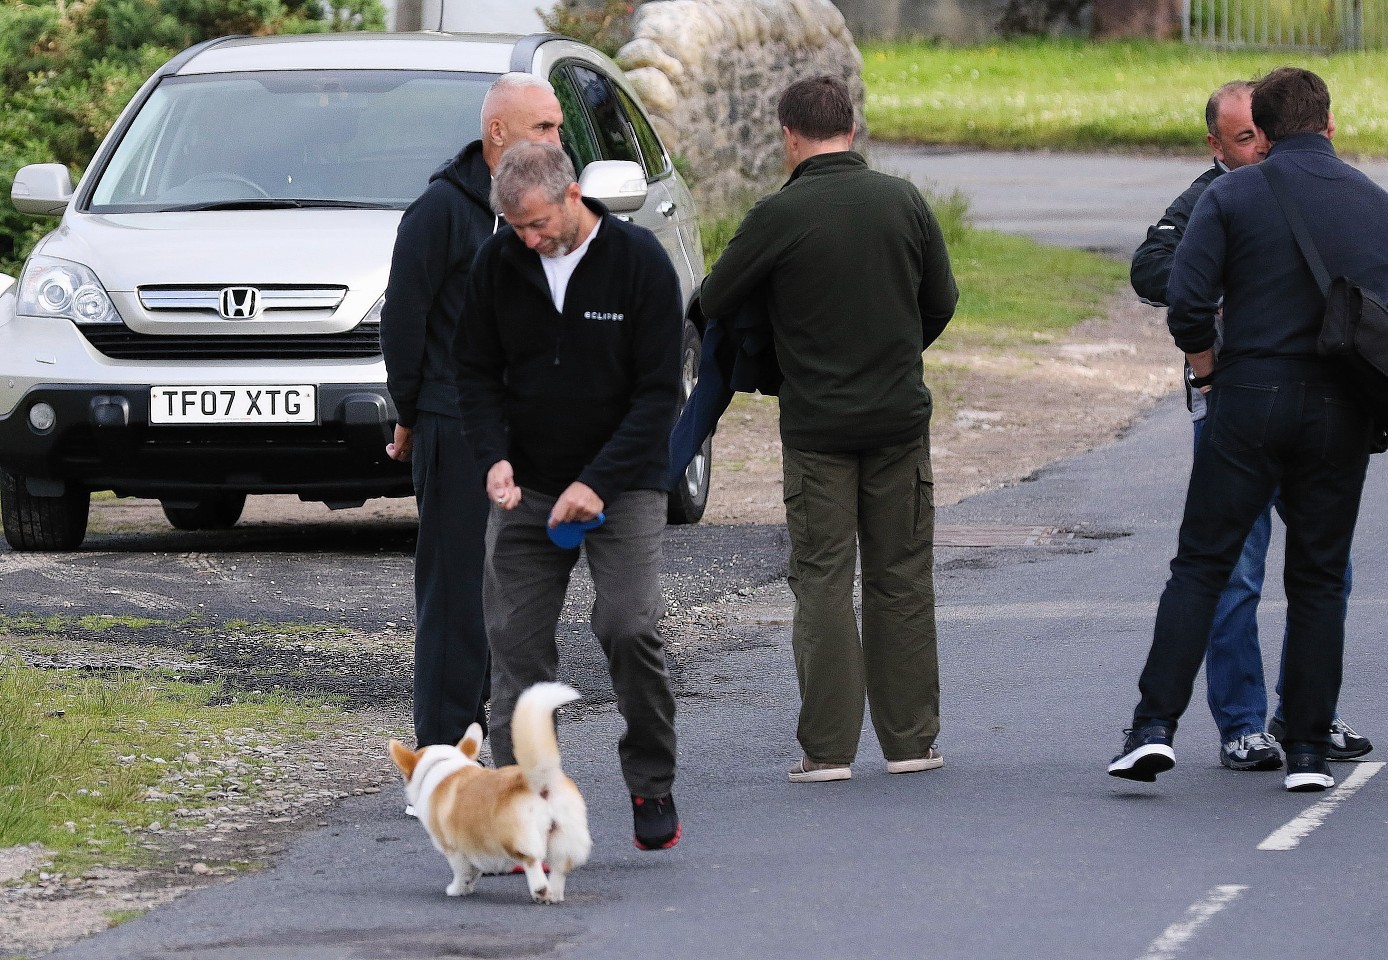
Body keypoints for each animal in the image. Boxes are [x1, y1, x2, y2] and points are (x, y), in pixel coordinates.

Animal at [385, 682, 591, 898]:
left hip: (517, 838)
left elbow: (462, 871)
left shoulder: (454, 848)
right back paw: (555, 894)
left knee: (531, 861)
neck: (443, 764)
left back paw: (540, 890)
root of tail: (538, 781)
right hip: (564, 835)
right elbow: (475, 870)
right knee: (560, 868)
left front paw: (458, 889)